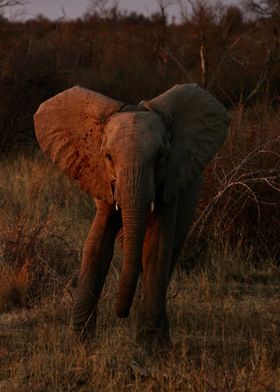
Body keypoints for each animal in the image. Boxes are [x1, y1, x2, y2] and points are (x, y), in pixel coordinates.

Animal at [34, 82, 229, 346]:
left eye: (161, 157)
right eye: (107, 156)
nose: (121, 315)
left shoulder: (169, 181)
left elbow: (156, 247)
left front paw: (150, 345)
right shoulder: (102, 179)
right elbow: (97, 244)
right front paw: (80, 341)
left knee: (171, 251)